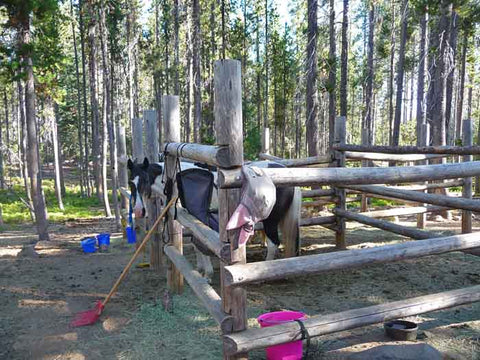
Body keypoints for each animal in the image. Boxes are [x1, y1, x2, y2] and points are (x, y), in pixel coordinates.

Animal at [127, 158, 300, 282]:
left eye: (145, 180)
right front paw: (200, 269)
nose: (138, 211)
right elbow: (196, 246)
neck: (178, 184)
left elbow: (201, 246)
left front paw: (207, 275)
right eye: (131, 183)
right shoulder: (190, 222)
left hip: (270, 221)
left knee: (273, 244)